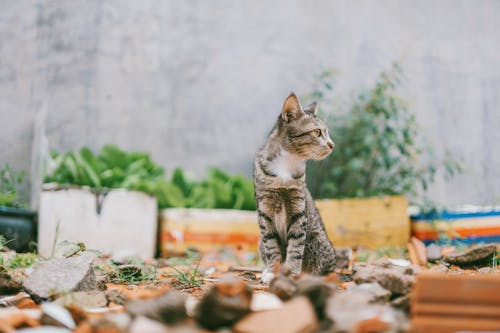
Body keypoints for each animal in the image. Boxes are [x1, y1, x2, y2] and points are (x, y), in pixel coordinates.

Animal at [254, 92, 336, 282]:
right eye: (317, 132)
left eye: (326, 132)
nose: (332, 144)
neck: (286, 164)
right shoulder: (265, 210)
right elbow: (271, 245)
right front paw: (272, 270)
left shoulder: (298, 209)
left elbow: (296, 246)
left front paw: (291, 271)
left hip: (318, 243)